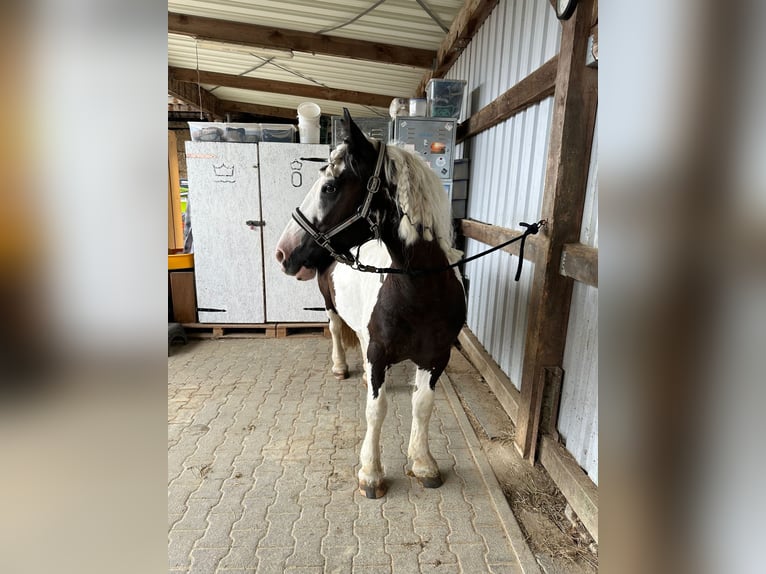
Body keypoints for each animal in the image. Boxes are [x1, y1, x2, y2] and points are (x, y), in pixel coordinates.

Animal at [276, 111, 468, 500]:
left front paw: (422, 462)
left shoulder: (436, 356)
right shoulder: (379, 354)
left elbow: (422, 405)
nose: (283, 252)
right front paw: (371, 472)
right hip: (330, 306)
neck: (420, 292)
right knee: (336, 331)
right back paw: (340, 367)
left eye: (330, 187)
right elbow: (376, 410)